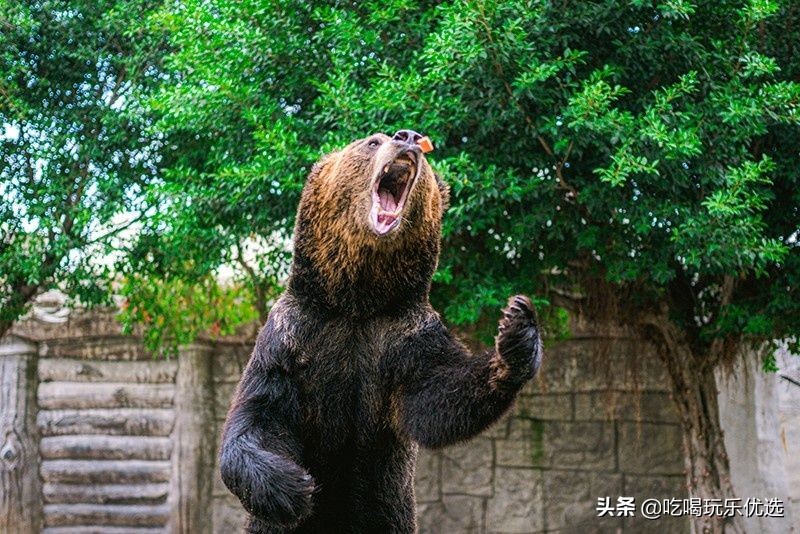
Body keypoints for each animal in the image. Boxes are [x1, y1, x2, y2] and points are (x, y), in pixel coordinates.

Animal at [219, 129, 542, 533]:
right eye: (372, 141)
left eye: (423, 150)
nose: (409, 137)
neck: (359, 301)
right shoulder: (296, 335)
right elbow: (260, 414)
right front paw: (293, 486)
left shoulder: (401, 339)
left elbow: (437, 397)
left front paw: (517, 332)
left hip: (390, 508)